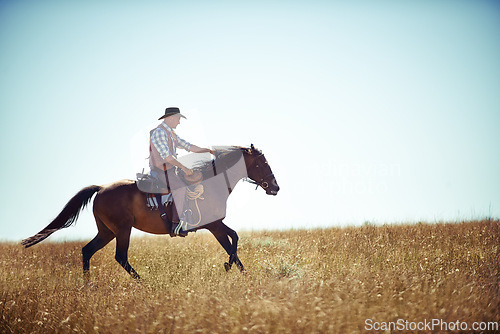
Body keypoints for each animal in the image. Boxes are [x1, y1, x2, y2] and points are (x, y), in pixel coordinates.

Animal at [21, 145, 280, 278]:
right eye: (262, 163)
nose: (275, 187)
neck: (211, 183)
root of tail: (101, 188)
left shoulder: (215, 224)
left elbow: (233, 239)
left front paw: (241, 272)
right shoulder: (213, 225)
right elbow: (232, 241)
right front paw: (232, 267)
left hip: (106, 231)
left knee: (87, 251)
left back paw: (87, 286)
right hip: (122, 230)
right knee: (120, 257)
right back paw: (141, 282)